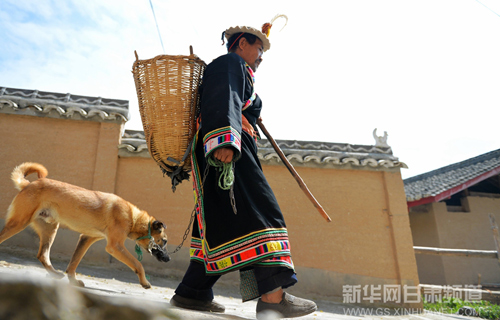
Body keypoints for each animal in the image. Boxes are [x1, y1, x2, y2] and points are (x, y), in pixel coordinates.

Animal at [0, 161, 170, 288]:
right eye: (164, 241)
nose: (168, 259)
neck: (133, 218)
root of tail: (29, 184)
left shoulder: (86, 238)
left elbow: (73, 264)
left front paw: (73, 281)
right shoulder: (115, 246)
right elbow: (138, 264)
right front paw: (145, 282)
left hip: (50, 229)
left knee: (42, 255)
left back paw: (55, 274)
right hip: (18, 223)